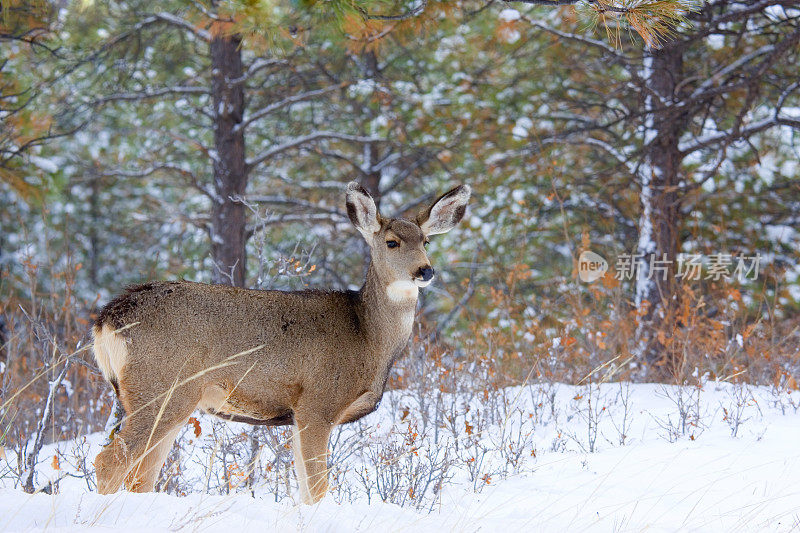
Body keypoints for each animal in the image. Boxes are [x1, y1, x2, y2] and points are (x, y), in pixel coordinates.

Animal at [92, 182, 468, 502]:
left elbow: (304, 486)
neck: (368, 337)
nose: (425, 271)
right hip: (161, 388)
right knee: (110, 462)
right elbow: (318, 487)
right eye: (391, 242)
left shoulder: (298, 415)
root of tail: (108, 318)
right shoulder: (317, 403)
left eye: (426, 242)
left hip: (170, 399)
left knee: (141, 476)